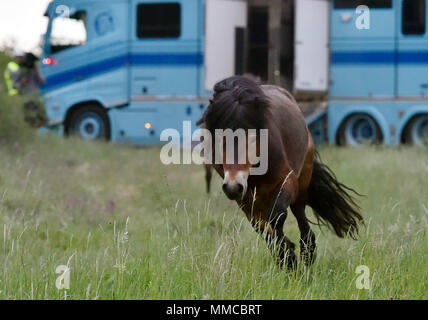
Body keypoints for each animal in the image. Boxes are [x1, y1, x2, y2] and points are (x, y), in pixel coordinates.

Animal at [199, 76, 362, 268]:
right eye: (219, 137)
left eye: (253, 138)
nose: (233, 186)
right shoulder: (244, 198)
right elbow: (262, 226)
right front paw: (286, 255)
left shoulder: (287, 181)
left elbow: (277, 217)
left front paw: (290, 258)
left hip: (301, 185)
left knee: (301, 220)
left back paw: (307, 256)